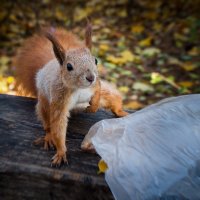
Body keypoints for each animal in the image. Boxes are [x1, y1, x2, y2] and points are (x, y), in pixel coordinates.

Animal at [14, 22, 128, 166]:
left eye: (95, 60)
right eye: (69, 67)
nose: (90, 77)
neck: (79, 88)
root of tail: (46, 66)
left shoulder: (96, 85)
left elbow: (97, 90)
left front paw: (93, 107)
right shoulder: (59, 99)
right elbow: (58, 124)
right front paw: (61, 152)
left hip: (108, 94)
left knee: (113, 100)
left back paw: (120, 112)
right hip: (44, 103)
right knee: (47, 122)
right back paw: (48, 136)